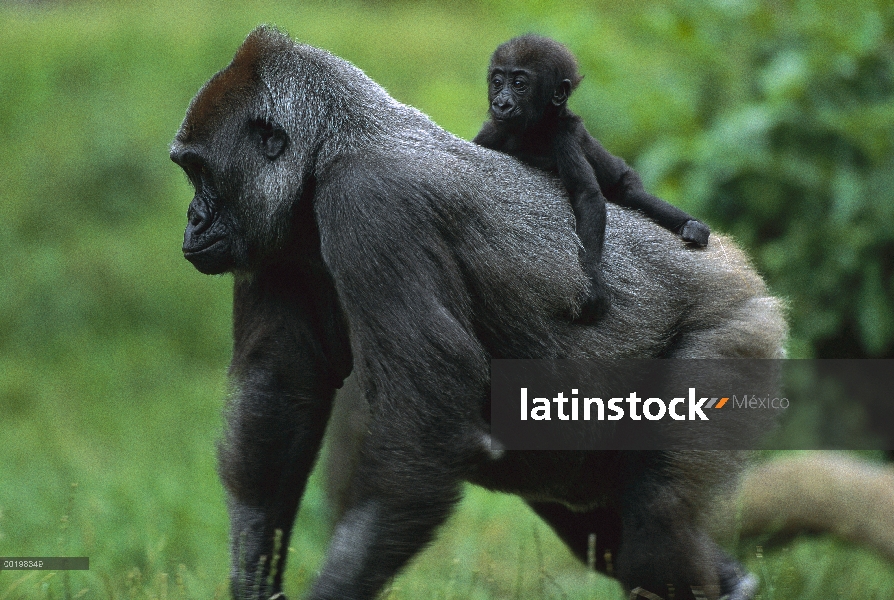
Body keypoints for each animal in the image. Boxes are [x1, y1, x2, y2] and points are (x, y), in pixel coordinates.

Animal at [472, 34, 712, 324]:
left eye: (519, 85)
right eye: (497, 83)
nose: (501, 103)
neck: (535, 127)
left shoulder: (564, 135)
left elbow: (586, 195)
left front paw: (592, 281)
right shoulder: (491, 132)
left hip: (624, 175)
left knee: (632, 195)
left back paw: (692, 226)